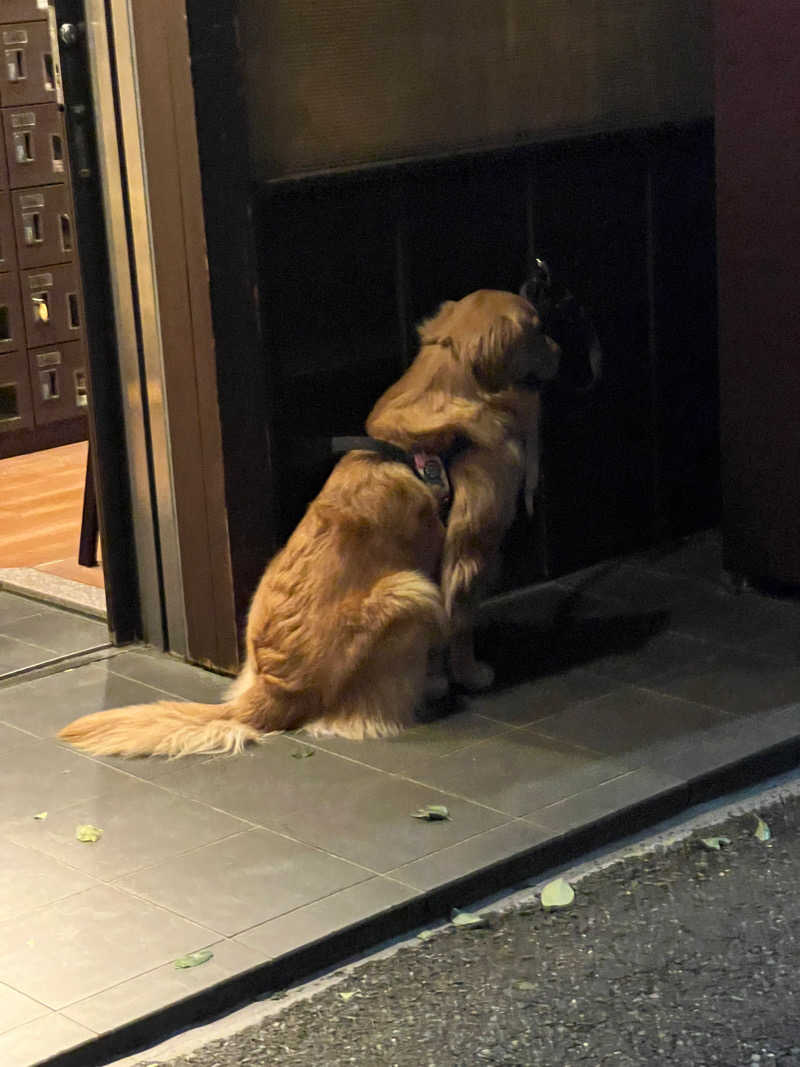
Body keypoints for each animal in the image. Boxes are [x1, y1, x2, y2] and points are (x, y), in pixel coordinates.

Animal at [59, 290, 558, 759]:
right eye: (537, 327)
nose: (559, 346)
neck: (451, 374)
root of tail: (267, 695)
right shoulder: (469, 551)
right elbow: (460, 627)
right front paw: (471, 674)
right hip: (412, 591)